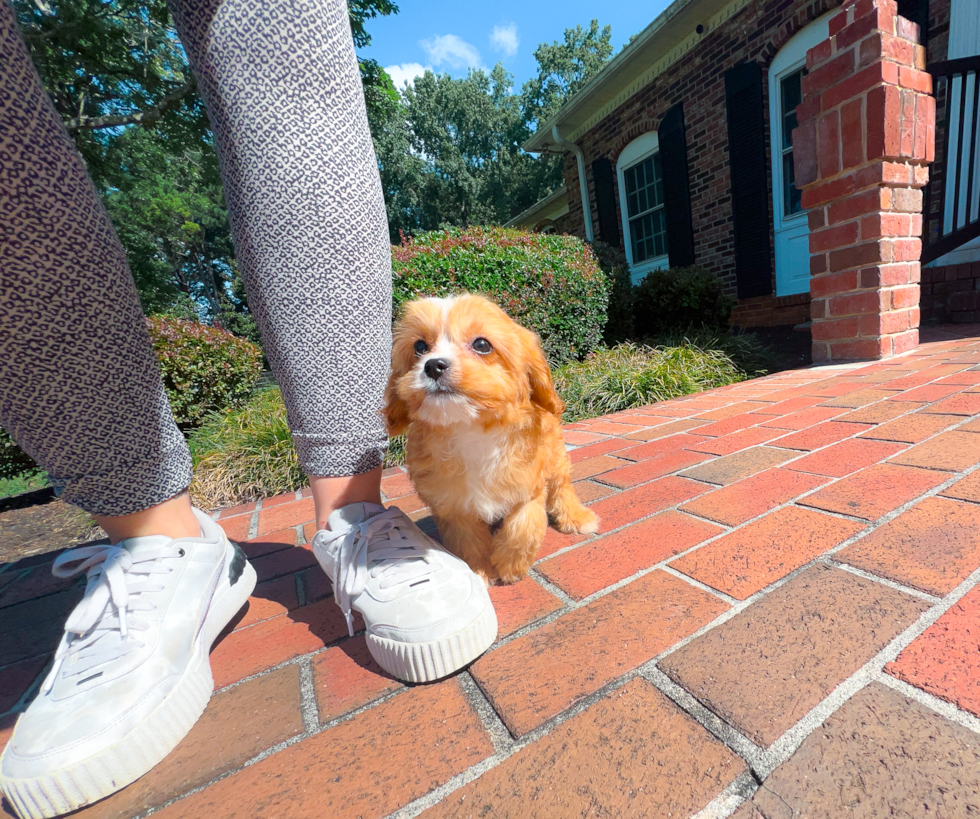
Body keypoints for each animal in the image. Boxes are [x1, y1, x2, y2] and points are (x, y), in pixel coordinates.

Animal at [382, 294, 596, 584]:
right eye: (420, 346)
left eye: (482, 344)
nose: (433, 365)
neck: (471, 429)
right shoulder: (452, 505)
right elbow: (467, 539)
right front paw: (481, 570)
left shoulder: (529, 482)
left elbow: (524, 525)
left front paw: (510, 566)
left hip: (555, 455)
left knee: (562, 487)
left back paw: (576, 516)